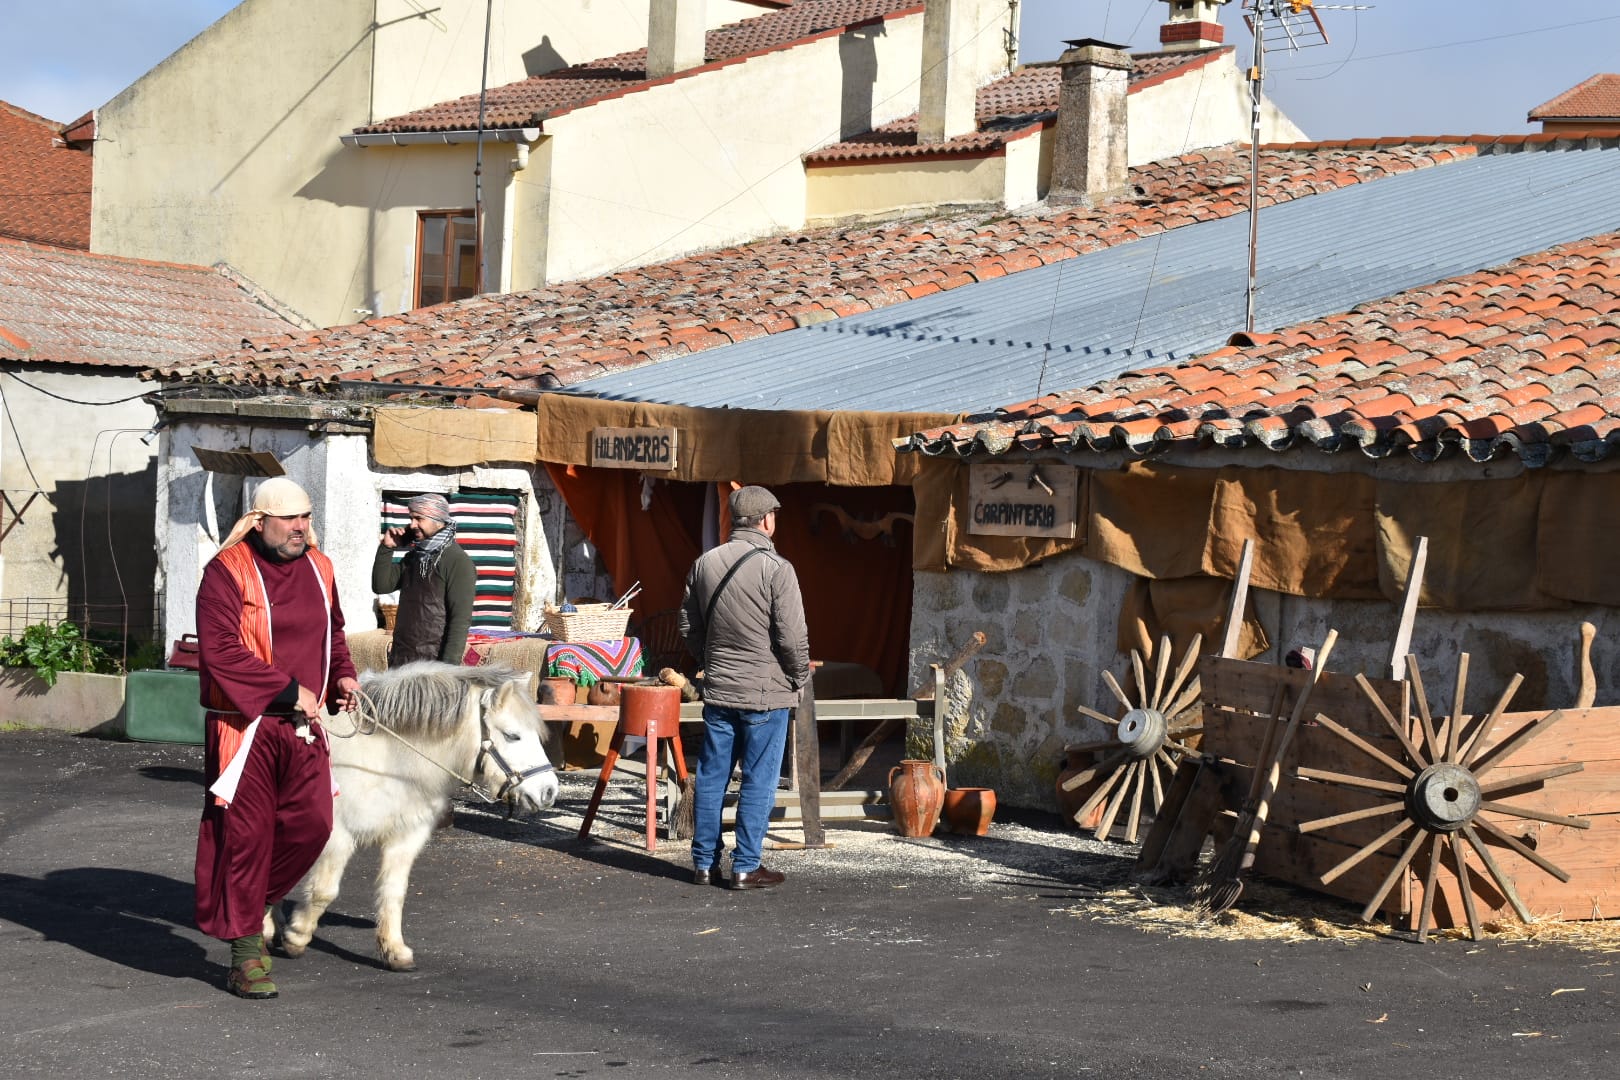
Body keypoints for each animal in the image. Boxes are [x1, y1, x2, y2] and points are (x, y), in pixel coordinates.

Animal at [268, 660, 560, 971]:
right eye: (512, 735)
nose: (548, 791)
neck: (386, 762)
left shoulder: (406, 837)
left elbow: (394, 891)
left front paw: (394, 951)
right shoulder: (337, 836)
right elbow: (323, 890)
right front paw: (296, 936)